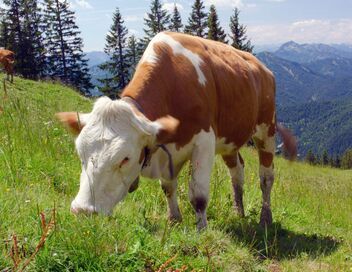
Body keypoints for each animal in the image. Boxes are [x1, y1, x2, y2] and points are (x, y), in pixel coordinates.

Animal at [56, 32, 296, 232]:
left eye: (125, 158)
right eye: (80, 154)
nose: (83, 210)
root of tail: (263, 68)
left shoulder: (204, 142)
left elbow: (198, 195)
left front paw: (202, 230)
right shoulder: (168, 149)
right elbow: (168, 187)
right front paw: (173, 220)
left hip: (267, 130)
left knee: (266, 177)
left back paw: (265, 219)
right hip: (231, 140)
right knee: (237, 172)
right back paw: (239, 213)